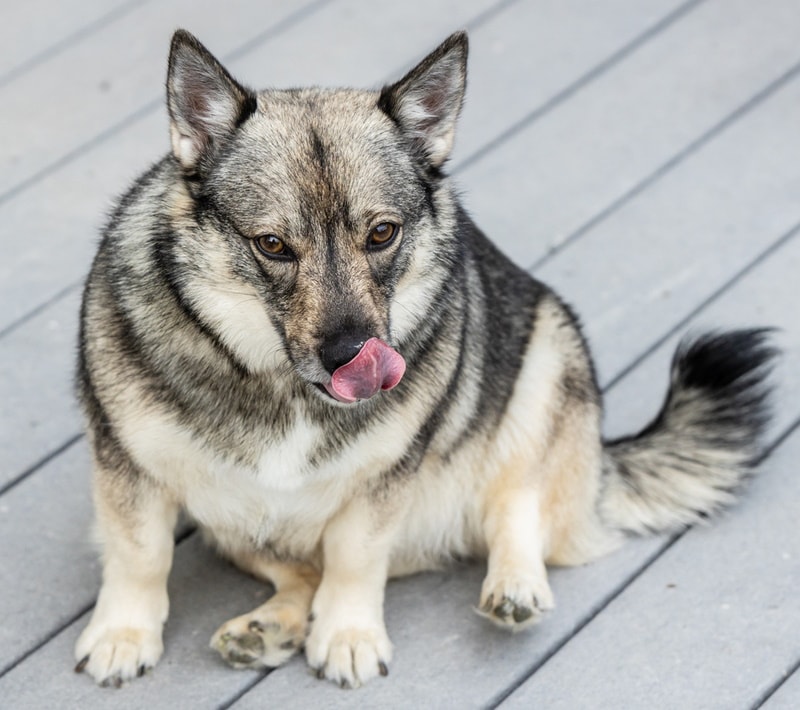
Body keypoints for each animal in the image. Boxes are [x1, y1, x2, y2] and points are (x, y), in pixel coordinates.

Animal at [73, 29, 776, 688]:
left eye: (382, 233)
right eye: (271, 245)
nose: (353, 358)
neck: (282, 387)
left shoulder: (382, 485)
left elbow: (355, 560)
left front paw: (349, 633)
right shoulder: (129, 472)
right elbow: (140, 557)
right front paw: (124, 633)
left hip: (548, 358)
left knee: (518, 507)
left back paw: (514, 586)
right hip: (231, 520)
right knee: (299, 571)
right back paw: (269, 627)